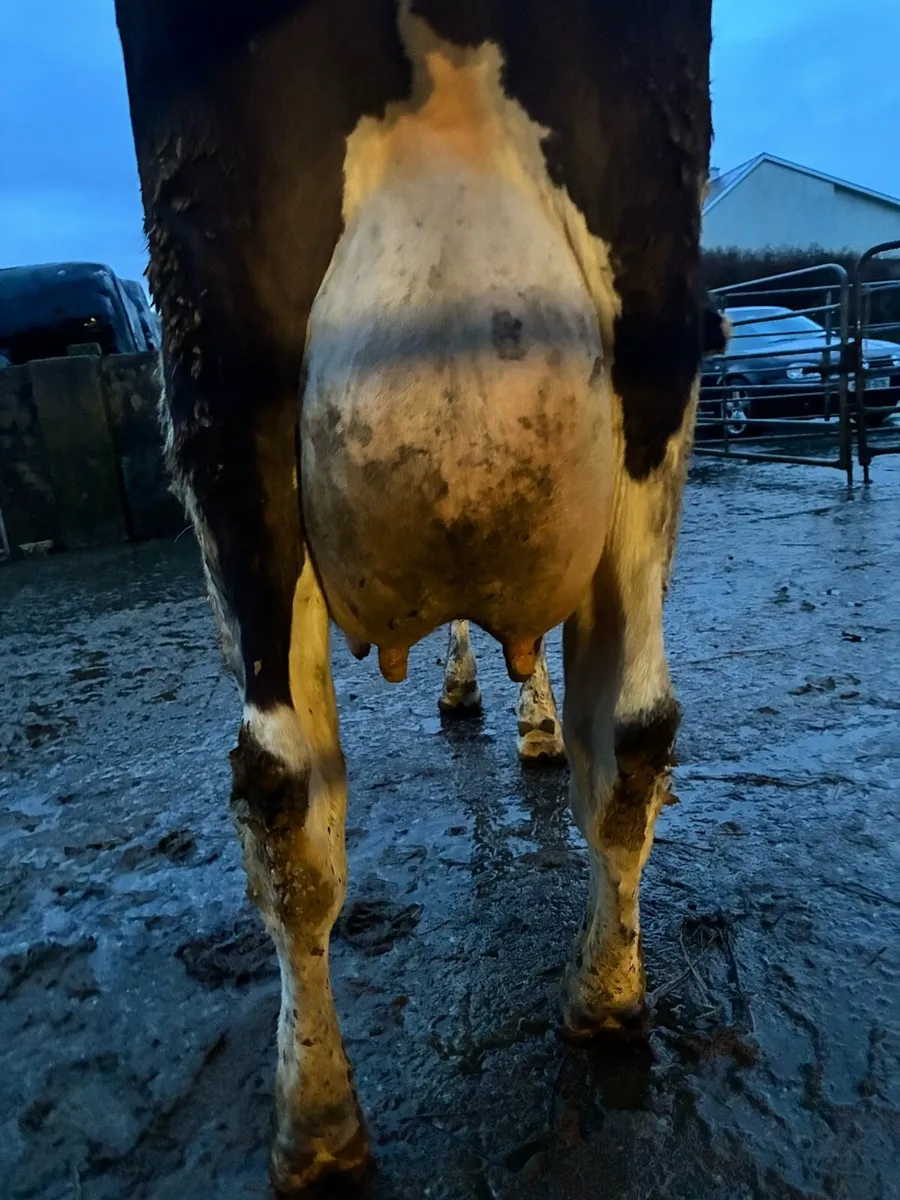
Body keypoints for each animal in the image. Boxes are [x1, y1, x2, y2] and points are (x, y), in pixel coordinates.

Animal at [115, 1, 714, 1191]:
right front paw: (514, 711)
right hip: (653, 358)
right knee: (635, 732)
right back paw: (604, 1001)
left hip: (217, 373)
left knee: (279, 789)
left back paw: (315, 1124)